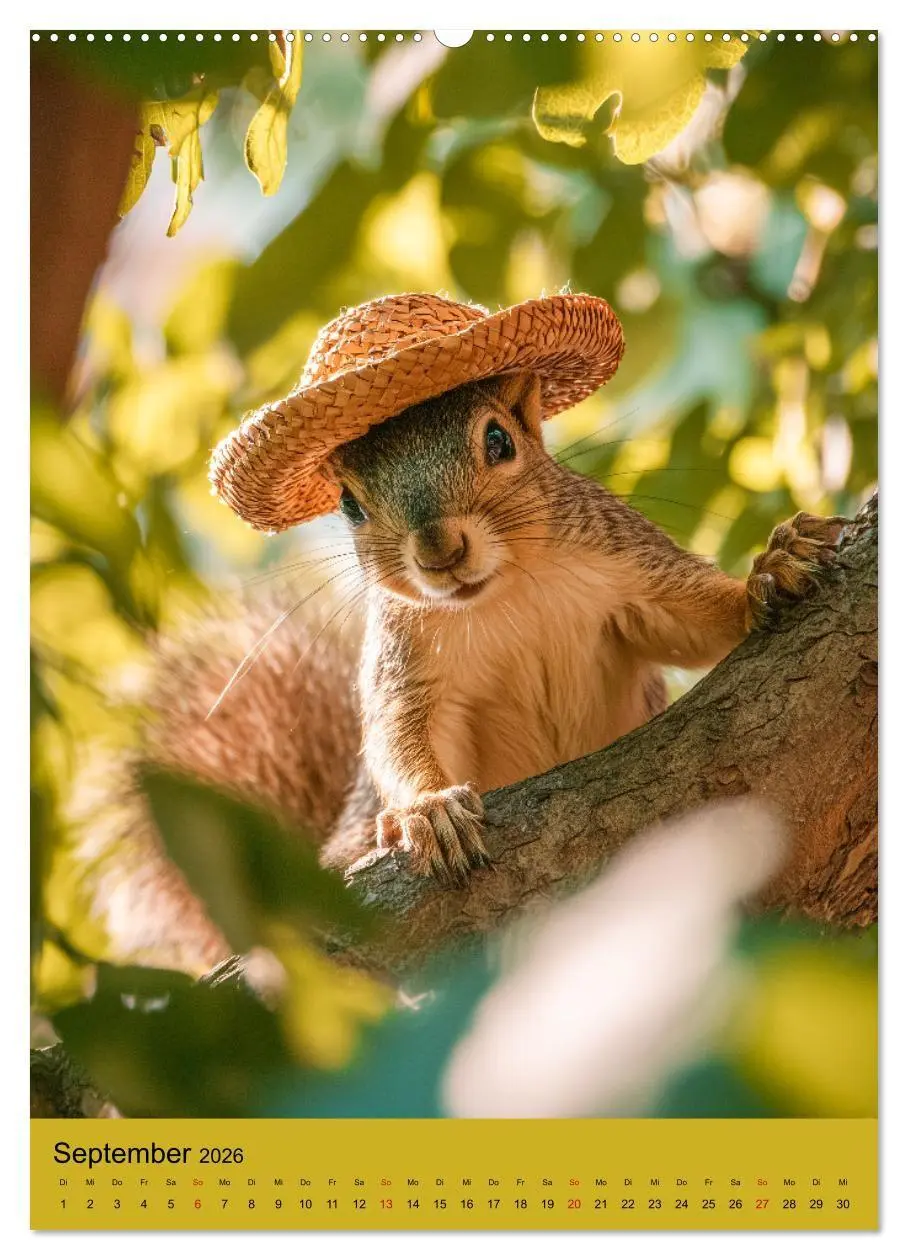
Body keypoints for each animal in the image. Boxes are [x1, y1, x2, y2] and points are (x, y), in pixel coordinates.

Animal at [121, 367, 844, 974]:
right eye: (350, 505)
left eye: (499, 439)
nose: (439, 550)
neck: (505, 593)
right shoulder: (406, 666)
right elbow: (398, 736)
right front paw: (428, 810)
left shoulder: (628, 565)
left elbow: (694, 618)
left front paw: (768, 574)